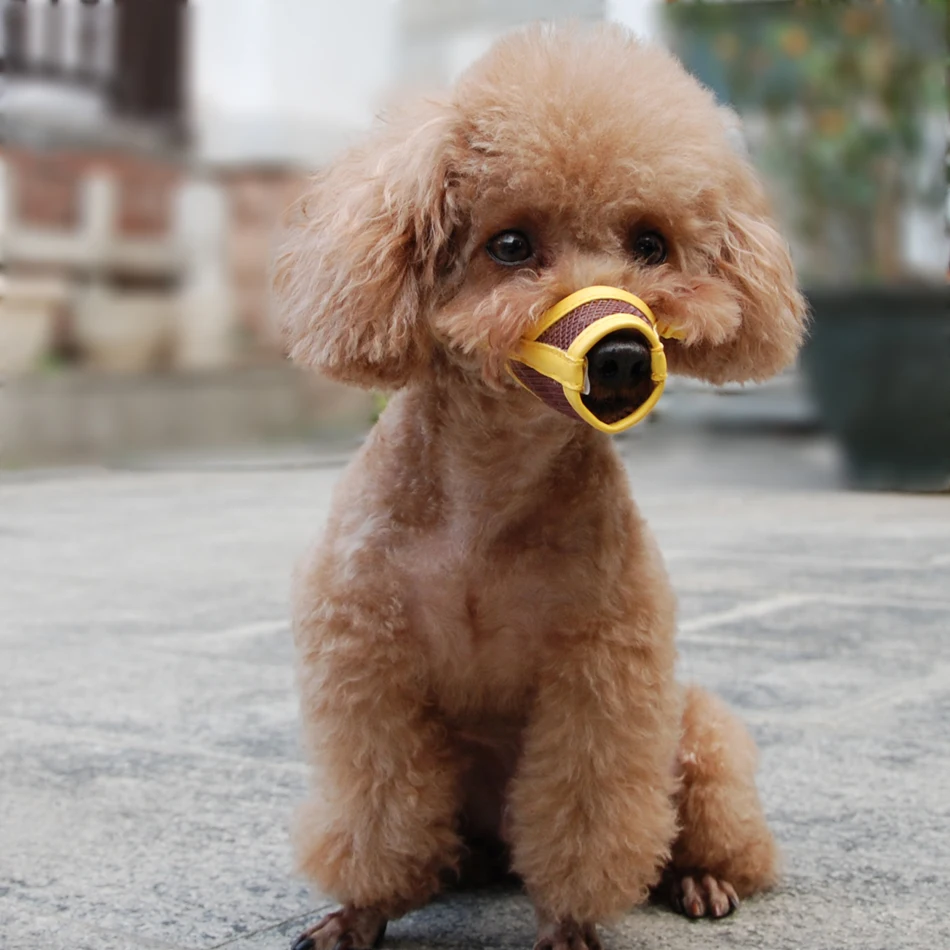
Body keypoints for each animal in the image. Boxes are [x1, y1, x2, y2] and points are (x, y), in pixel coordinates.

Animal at [274, 22, 804, 950]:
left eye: (651, 244)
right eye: (511, 245)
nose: (622, 355)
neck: (487, 497)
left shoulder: (600, 677)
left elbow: (586, 817)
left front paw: (571, 923)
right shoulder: (369, 666)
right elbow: (377, 812)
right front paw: (360, 911)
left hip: (694, 727)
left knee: (715, 828)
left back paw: (701, 879)